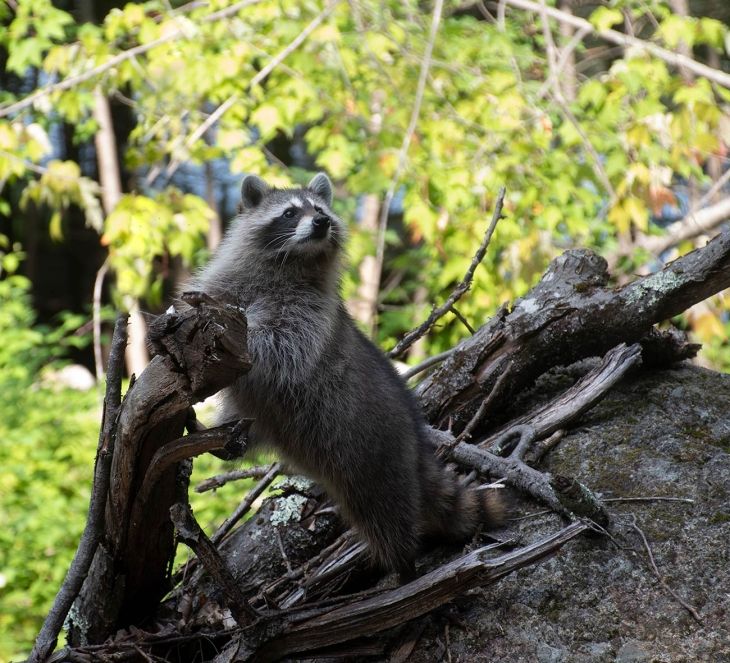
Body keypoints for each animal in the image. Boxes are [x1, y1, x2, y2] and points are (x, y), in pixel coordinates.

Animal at [192, 173, 504, 574]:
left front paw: (248, 337)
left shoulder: (311, 313)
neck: (292, 260)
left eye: (320, 210)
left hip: (376, 458)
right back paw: (227, 440)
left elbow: (284, 347)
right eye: (290, 212)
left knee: (387, 515)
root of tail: (416, 444)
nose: (321, 222)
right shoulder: (231, 282)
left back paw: (402, 567)